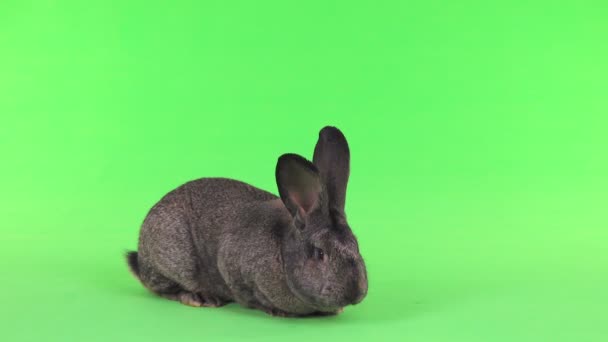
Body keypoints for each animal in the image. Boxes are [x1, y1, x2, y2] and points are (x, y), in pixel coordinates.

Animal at [126, 127, 368, 316]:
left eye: (356, 246)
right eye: (319, 253)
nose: (355, 293)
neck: (282, 252)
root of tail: (141, 257)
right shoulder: (234, 269)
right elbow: (251, 296)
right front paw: (276, 311)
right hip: (174, 258)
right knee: (161, 287)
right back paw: (199, 298)